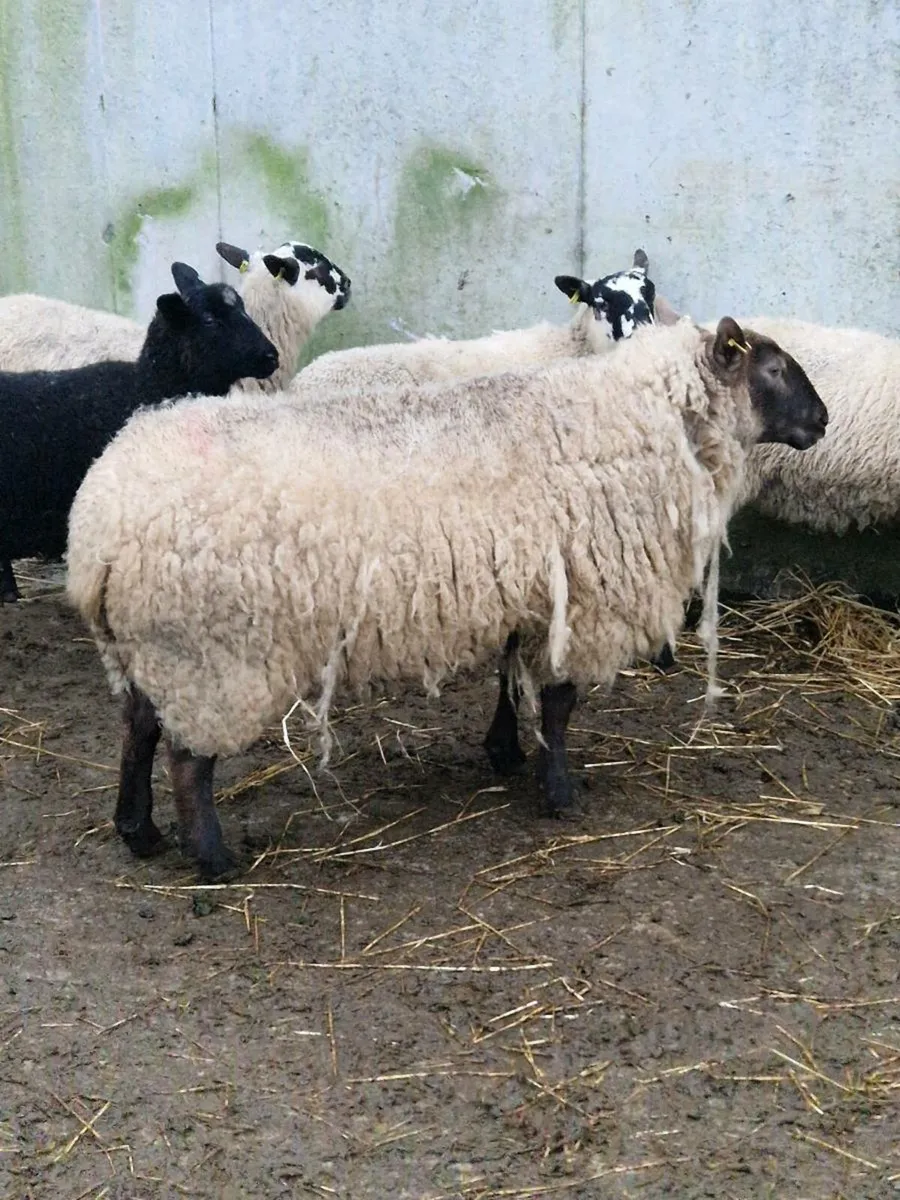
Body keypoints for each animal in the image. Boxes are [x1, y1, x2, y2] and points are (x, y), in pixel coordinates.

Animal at [66, 316, 827, 878]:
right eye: (773, 369)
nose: (822, 420)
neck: (644, 420)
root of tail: (99, 521)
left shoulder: (525, 591)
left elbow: (510, 677)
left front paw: (506, 753)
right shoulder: (582, 600)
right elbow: (558, 704)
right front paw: (558, 793)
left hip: (152, 648)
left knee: (138, 730)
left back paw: (137, 831)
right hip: (210, 654)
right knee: (186, 759)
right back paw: (212, 858)